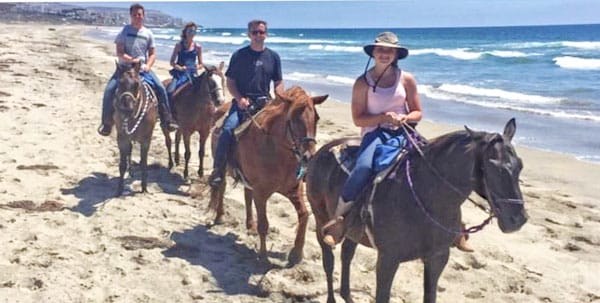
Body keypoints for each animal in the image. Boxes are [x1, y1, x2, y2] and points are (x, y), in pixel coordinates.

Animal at [207, 85, 328, 266]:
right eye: (293, 118)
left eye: (317, 118)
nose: (308, 157)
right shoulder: (261, 193)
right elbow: (264, 225)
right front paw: (263, 256)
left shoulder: (293, 190)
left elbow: (305, 216)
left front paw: (296, 254)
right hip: (223, 168)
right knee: (221, 188)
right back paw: (220, 216)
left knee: (246, 195)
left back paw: (250, 225)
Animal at [308, 119, 528, 303]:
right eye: (495, 167)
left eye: (520, 165)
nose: (518, 220)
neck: (426, 199)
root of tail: (323, 150)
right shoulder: (388, 260)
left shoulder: (438, 258)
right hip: (320, 220)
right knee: (329, 261)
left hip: (354, 230)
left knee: (347, 254)